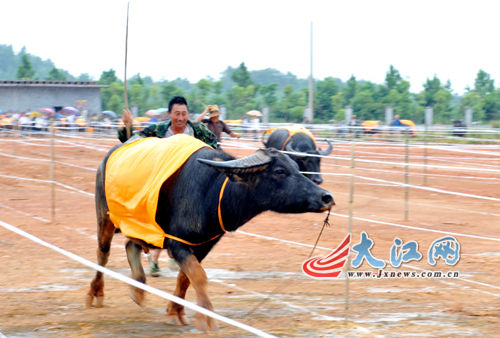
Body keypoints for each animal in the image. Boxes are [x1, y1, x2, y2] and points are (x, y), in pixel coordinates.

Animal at [86, 136, 334, 332]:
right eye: (279, 171)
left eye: (297, 167)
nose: (326, 197)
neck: (212, 191)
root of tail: (107, 158)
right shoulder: (177, 244)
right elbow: (199, 276)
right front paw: (206, 318)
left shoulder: (203, 245)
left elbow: (186, 278)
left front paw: (175, 312)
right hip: (105, 219)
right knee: (103, 254)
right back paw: (95, 294)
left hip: (144, 227)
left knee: (131, 246)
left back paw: (138, 289)